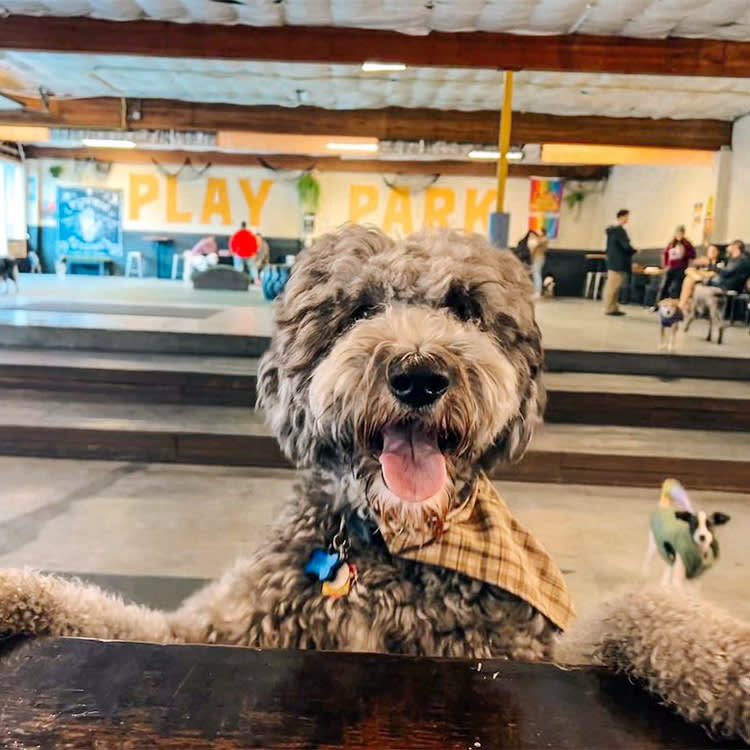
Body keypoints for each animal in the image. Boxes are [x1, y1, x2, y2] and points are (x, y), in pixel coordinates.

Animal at [1, 226, 750, 744]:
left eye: (468, 309)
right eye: (358, 308)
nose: (419, 375)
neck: (392, 548)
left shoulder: (535, 646)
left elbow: (643, 614)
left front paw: (733, 668)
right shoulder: (219, 627)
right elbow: (107, 612)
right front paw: (15, 594)